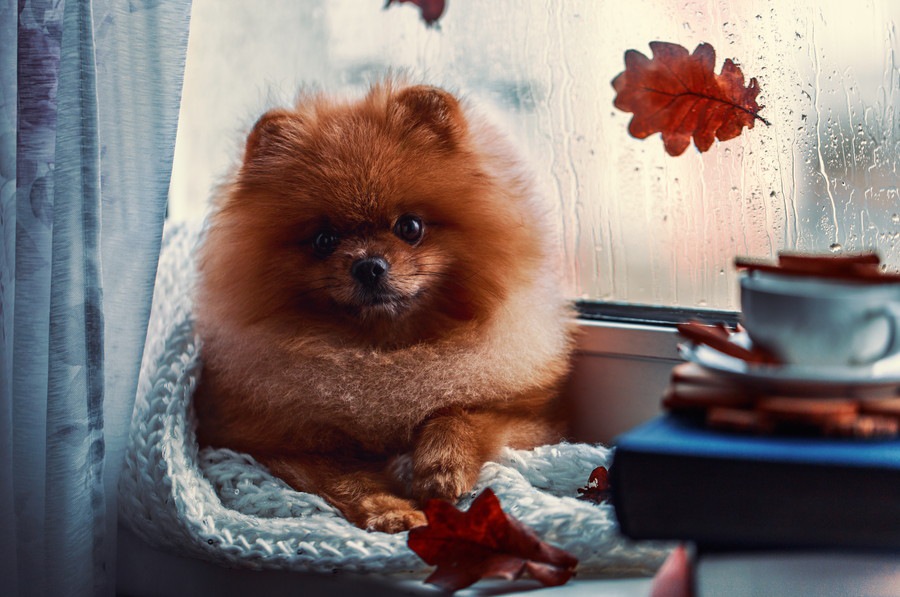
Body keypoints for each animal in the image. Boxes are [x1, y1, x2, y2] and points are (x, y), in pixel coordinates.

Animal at [196, 78, 576, 532]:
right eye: (323, 240)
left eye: (409, 227)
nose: (368, 266)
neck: (382, 352)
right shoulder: (275, 444)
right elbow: (346, 479)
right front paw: (391, 510)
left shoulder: (534, 420)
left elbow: (464, 413)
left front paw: (442, 467)